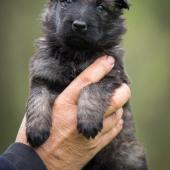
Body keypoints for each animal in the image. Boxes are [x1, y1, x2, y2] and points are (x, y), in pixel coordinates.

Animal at [25, 0, 147, 169]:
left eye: (101, 7)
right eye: (67, 2)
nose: (79, 25)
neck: (76, 55)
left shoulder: (111, 74)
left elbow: (91, 87)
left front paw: (88, 120)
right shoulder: (43, 75)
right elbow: (37, 99)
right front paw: (36, 129)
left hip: (129, 156)